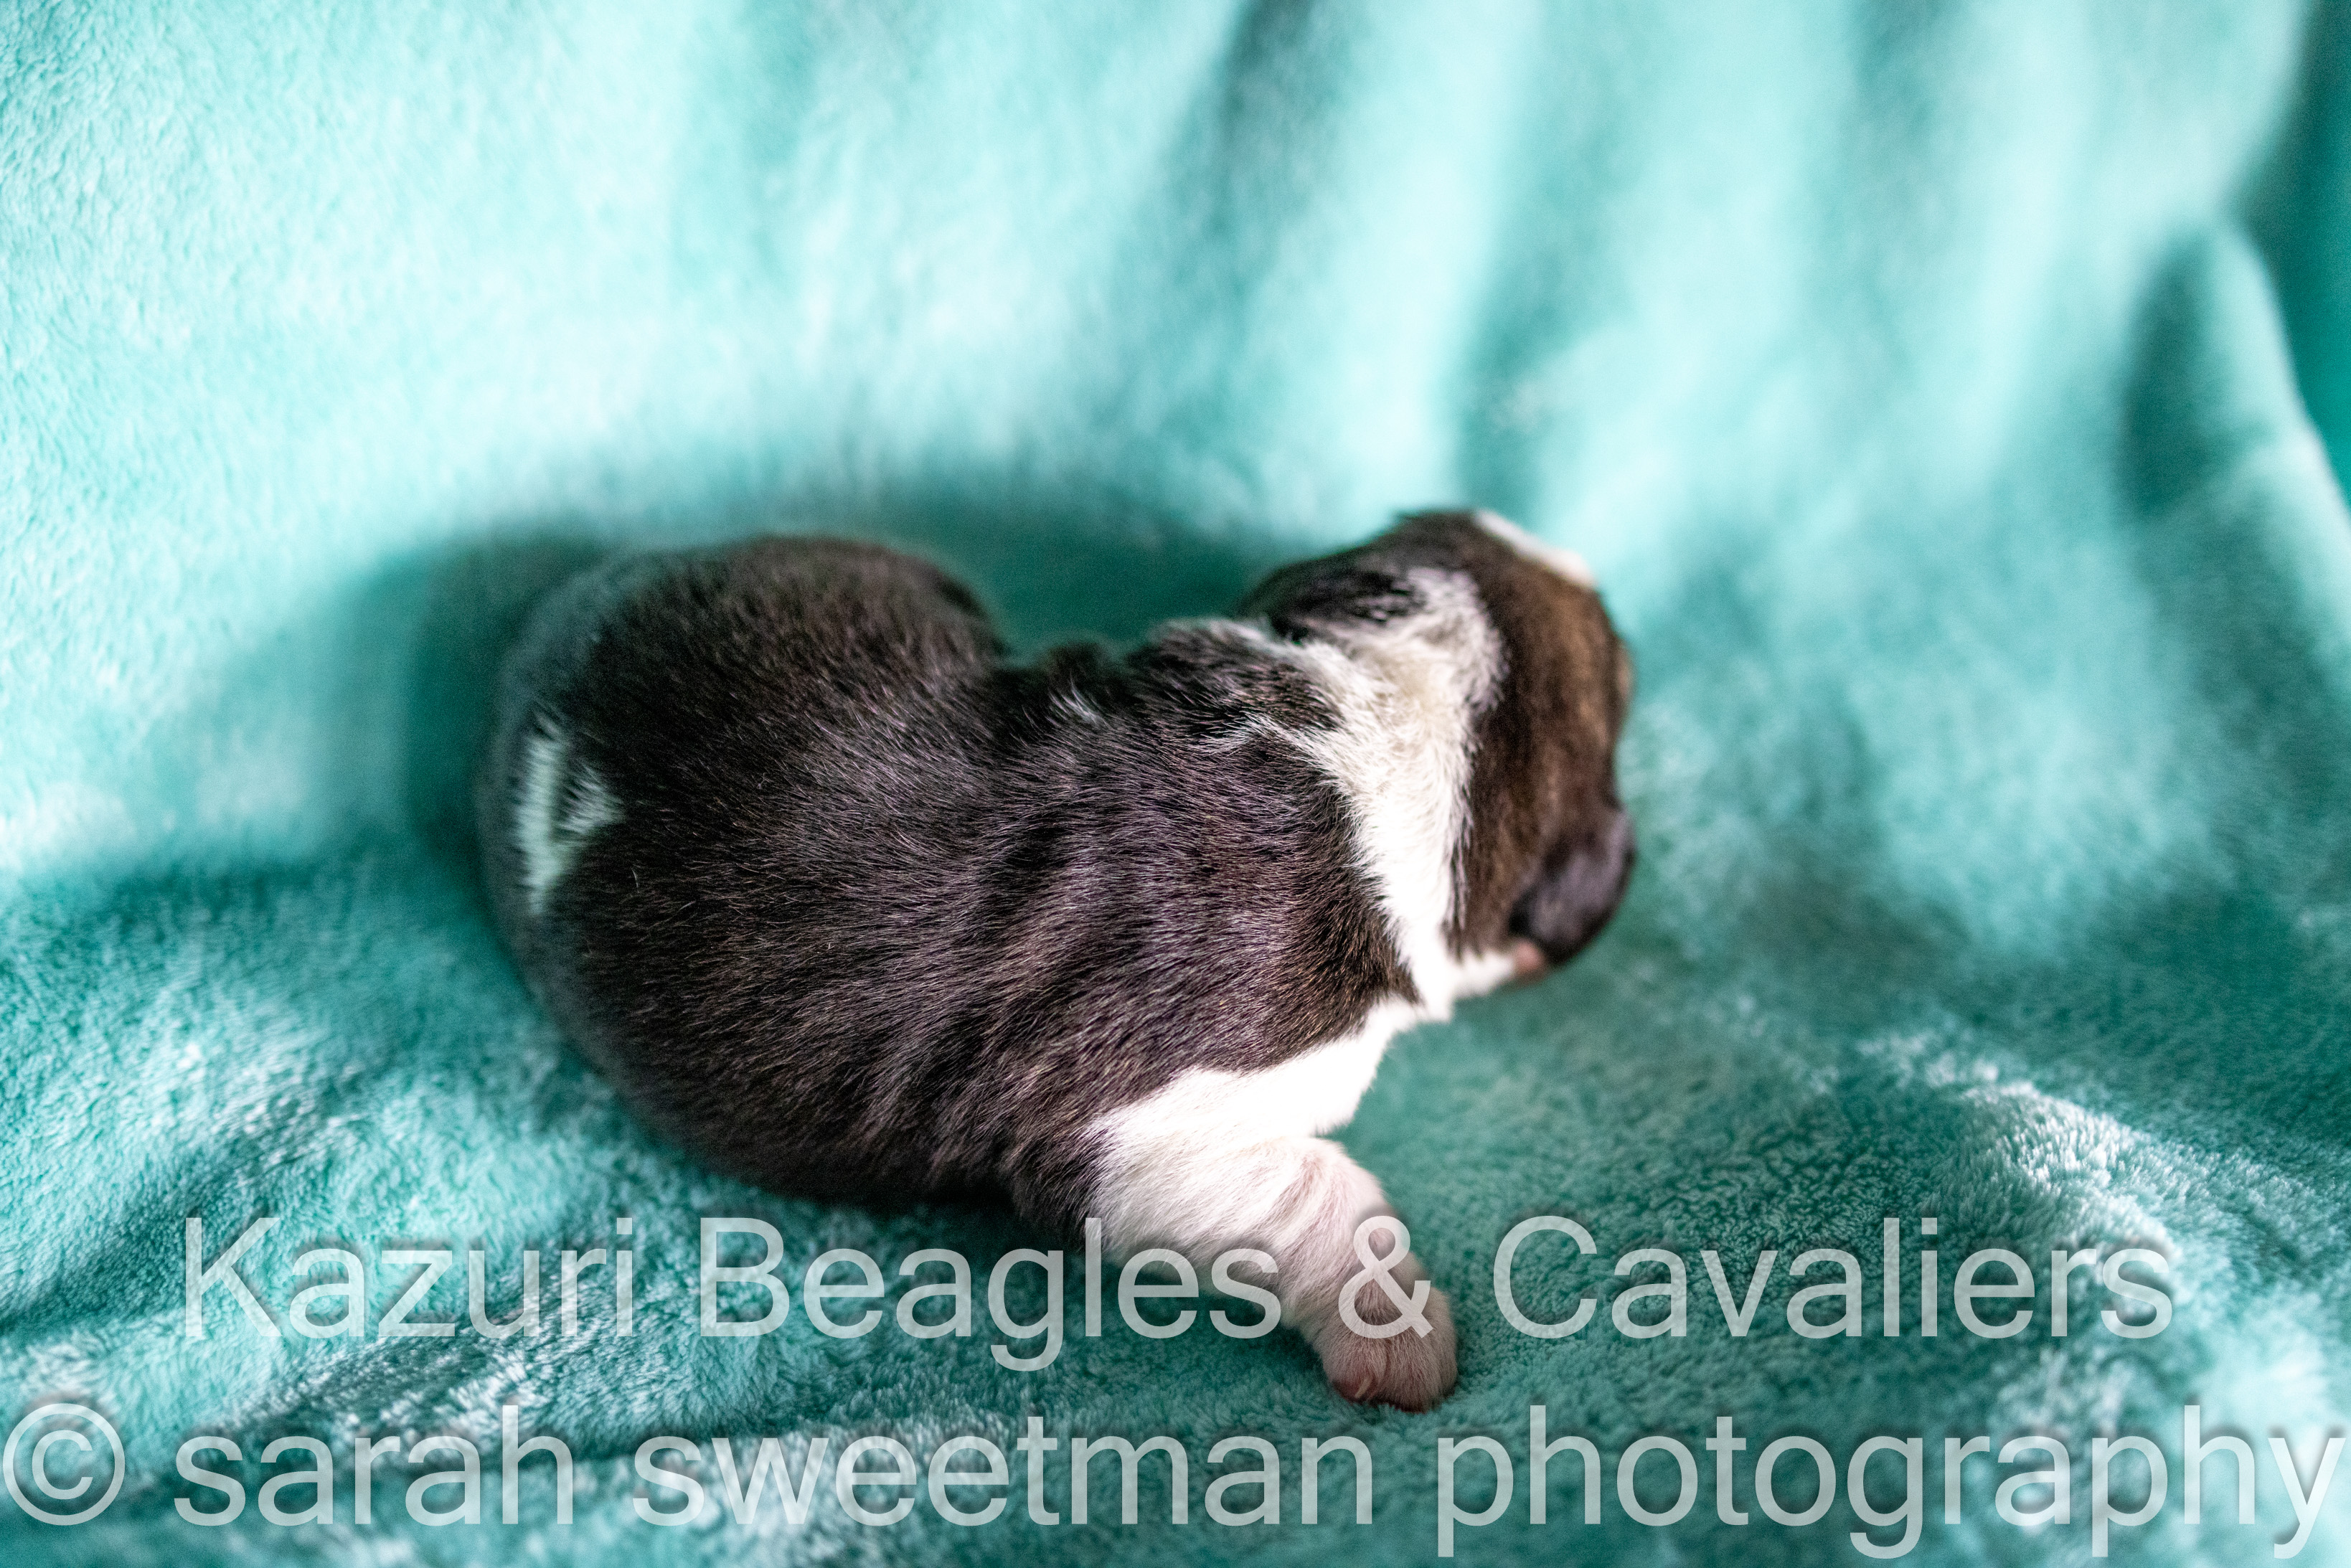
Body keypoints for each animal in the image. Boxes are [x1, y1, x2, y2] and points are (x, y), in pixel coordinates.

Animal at [477, 509, 1633, 1409]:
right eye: (1623, 681)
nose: (1576, 558)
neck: (1383, 728)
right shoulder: (1129, 1130)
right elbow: (1312, 1183)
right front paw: (1397, 1333)